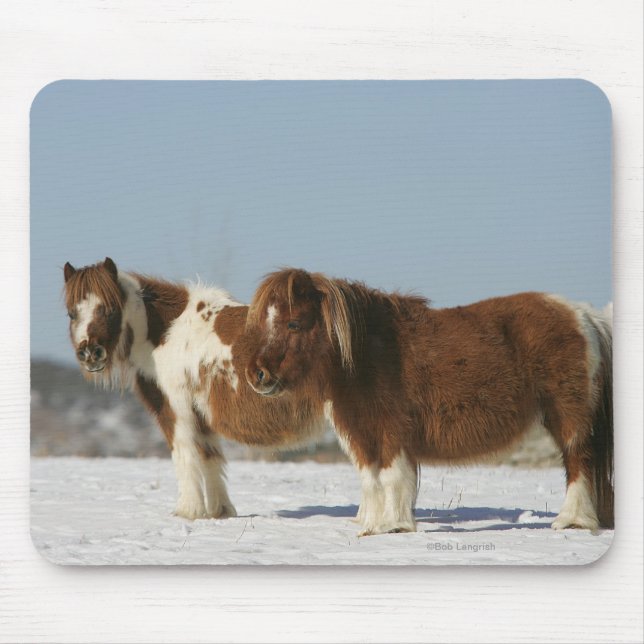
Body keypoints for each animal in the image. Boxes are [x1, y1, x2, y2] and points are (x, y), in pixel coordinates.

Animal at [63, 258, 326, 520]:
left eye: (110, 309)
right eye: (72, 313)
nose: (90, 353)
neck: (166, 333)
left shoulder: (177, 409)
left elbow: (185, 453)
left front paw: (188, 510)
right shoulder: (201, 415)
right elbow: (209, 456)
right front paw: (220, 511)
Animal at [245, 268, 614, 536]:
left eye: (293, 323)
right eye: (265, 322)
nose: (256, 374)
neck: (368, 352)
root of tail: (583, 315)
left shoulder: (391, 430)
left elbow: (391, 476)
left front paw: (394, 525)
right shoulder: (360, 433)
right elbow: (370, 479)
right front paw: (371, 526)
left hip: (568, 418)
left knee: (578, 462)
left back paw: (571, 521)